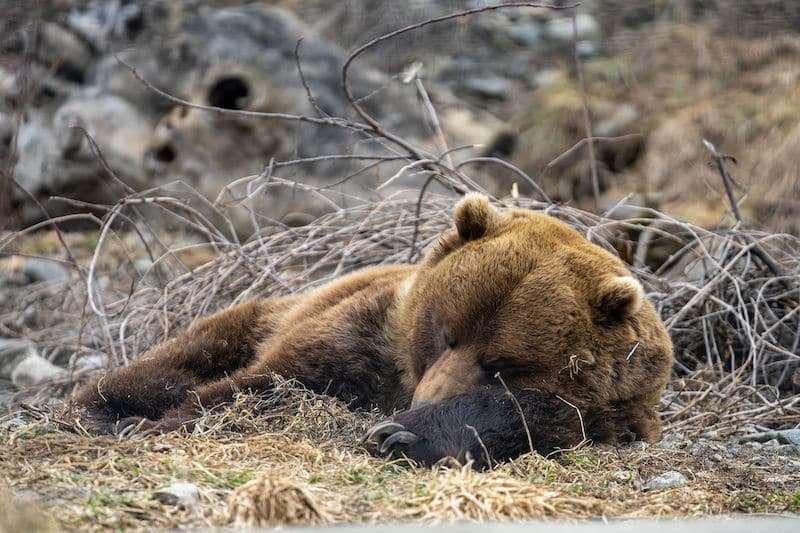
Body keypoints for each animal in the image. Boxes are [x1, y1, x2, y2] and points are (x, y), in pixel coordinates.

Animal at [75, 194, 676, 466]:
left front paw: (405, 432)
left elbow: (548, 415)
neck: (399, 375)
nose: (427, 395)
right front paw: (156, 423)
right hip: (267, 310)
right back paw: (106, 408)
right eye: (445, 332)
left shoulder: (622, 410)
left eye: (501, 363)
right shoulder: (366, 333)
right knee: (187, 355)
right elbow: (275, 380)